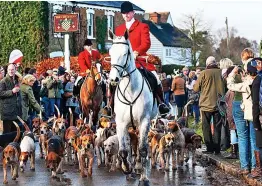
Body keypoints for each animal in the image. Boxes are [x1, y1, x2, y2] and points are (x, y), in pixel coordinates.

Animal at [108, 30, 158, 185]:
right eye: (110, 52)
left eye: (126, 53)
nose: (113, 79)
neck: (130, 90)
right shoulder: (121, 123)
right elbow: (123, 151)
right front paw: (127, 168)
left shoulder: (144, 121)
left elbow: (143, 149)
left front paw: (143, 176)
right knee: (132, 144)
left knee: (140, 145)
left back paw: (139, 167)